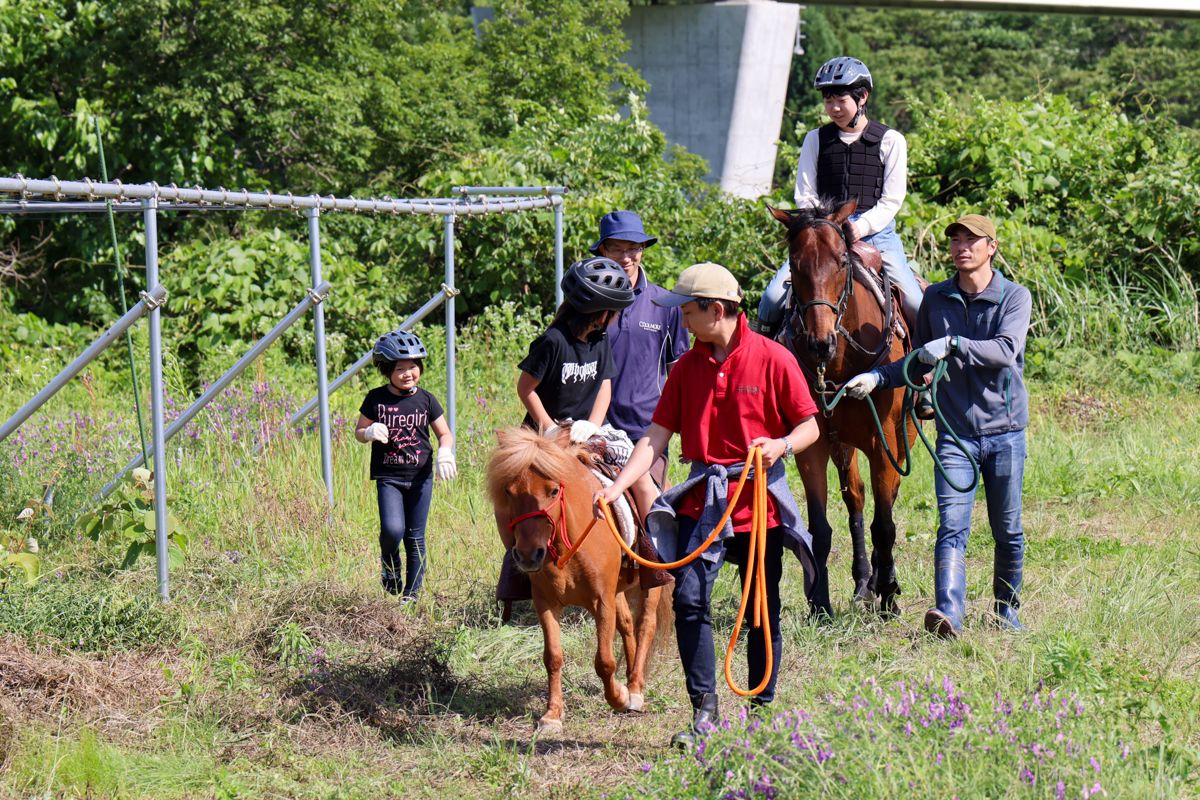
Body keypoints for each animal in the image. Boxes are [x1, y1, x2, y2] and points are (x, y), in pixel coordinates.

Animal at [487, 429, 676, 734]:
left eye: (553, 491)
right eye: (508, 491)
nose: (527, 555)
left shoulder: (601, 601)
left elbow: (604, 662)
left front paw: (619, 697)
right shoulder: (546, 603)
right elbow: (552, 657)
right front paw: (552, 715)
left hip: (650, 587)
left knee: (645, 625)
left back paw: (635, 689)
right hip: (618, 591)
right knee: (627, 625)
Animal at [768, 200, 916, 618]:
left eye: (841, 261)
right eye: (795, 262)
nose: (820, 343)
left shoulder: (884, 442)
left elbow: (885, 524)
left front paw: (889, 596)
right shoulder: (813, 445)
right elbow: (820, 527)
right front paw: (820, 604)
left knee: (887, 496)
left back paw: (880, 583)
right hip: (842, 442)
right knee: (856, 497)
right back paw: (863, 582)